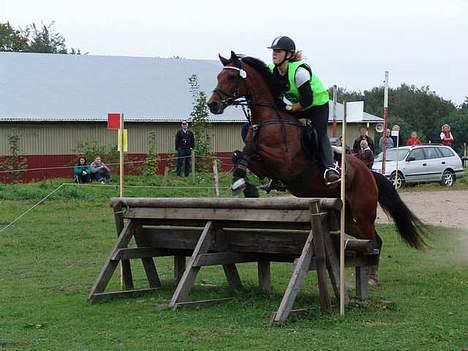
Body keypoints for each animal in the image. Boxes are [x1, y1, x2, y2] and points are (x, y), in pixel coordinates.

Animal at [206, 51, 428, 284]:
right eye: (219, 76)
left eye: (231, 77)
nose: (212, 104)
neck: (268, 121)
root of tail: (369, 173)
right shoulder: (264, 165)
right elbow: (240, 154)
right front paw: (244, 184)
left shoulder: (285, 163)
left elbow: (250, 149)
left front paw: (242, 182)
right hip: (347, 216)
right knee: (372, 239)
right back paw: (370, 273)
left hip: (363, 210)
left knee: (373, 239)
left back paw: (371, 277)